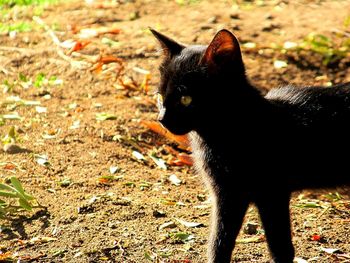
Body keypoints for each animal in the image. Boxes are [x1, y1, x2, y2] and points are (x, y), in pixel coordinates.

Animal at [150, 27, 350, 262]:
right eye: (160, 97)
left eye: (186, 99)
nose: (162, 119)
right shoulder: (227, 195)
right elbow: (219, 242)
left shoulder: (273, 193)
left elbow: (280, 246)